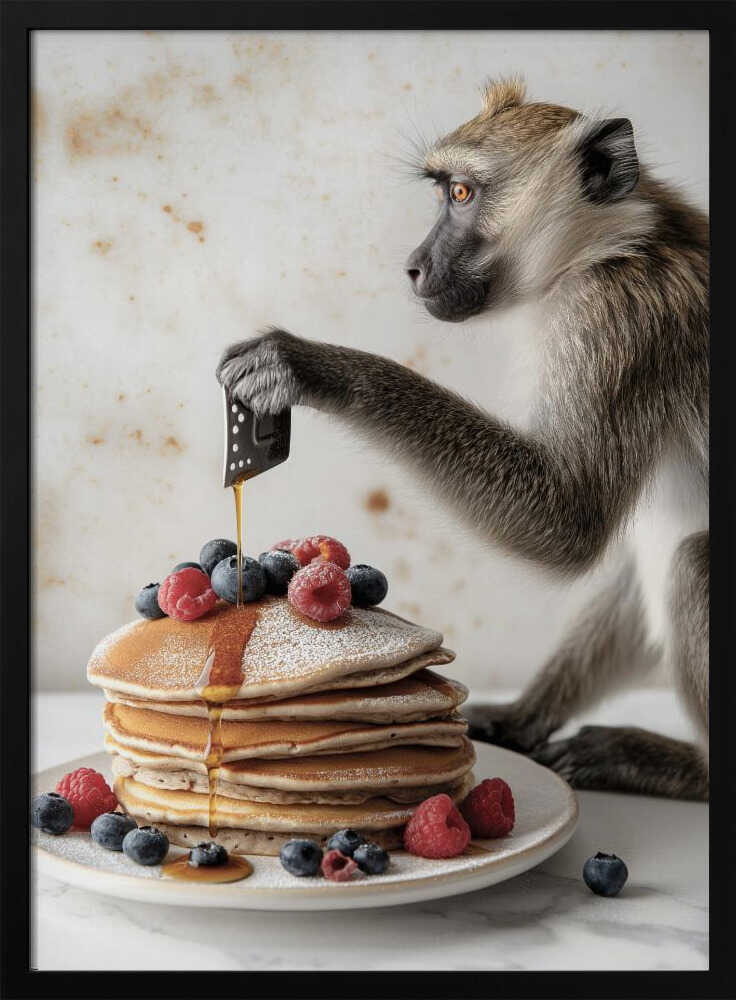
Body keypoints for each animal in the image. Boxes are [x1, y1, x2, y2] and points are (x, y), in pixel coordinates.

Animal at [217, 77, 709, 801]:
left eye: (462, 193)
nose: (414, 266)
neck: (619, 242)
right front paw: (521, 717)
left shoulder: (615, 320)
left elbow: (567, 520)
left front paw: (314, 366)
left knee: (693, 558)